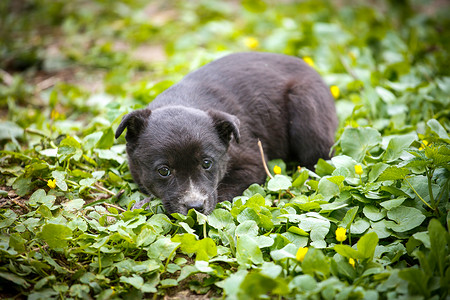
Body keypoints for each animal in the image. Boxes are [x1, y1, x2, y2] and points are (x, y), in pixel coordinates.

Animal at [116, 52, 338, 216]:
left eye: (207, 163)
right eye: (164, 171)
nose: (195, 207)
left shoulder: (253, 164)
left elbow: (222, 190)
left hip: (307, 111)